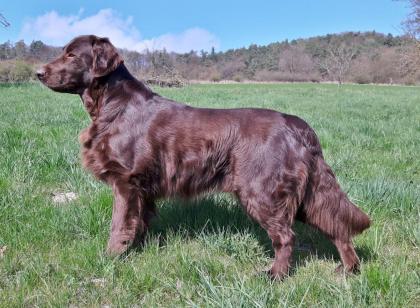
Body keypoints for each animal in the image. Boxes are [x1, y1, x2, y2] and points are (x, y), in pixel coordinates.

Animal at [37, 35, 370, 278]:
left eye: (71, 55)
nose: (37, 73)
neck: (114, 105)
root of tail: (295, 124)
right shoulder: (143, 187)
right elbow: (140, 222)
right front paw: (138, 251)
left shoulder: (125, 181)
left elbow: (119, 225)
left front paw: (110, 258)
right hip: (305, 194)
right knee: (337, 226)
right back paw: (348, 270)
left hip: (262, 191)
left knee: (287, 236)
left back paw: (274, 275)